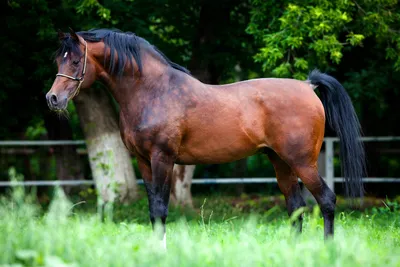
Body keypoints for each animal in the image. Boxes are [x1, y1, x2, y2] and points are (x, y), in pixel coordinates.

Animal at [46, 28, 366, 246]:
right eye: (58, 60)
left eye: (75, 61)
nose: (53, 99)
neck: (152, 91)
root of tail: (308, 86)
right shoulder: (144, 162)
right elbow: (152, 210)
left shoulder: (163, 159)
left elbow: (161, 208)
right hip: (280, 162)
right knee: (296, 207)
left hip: (301, 162)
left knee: (326, 200)